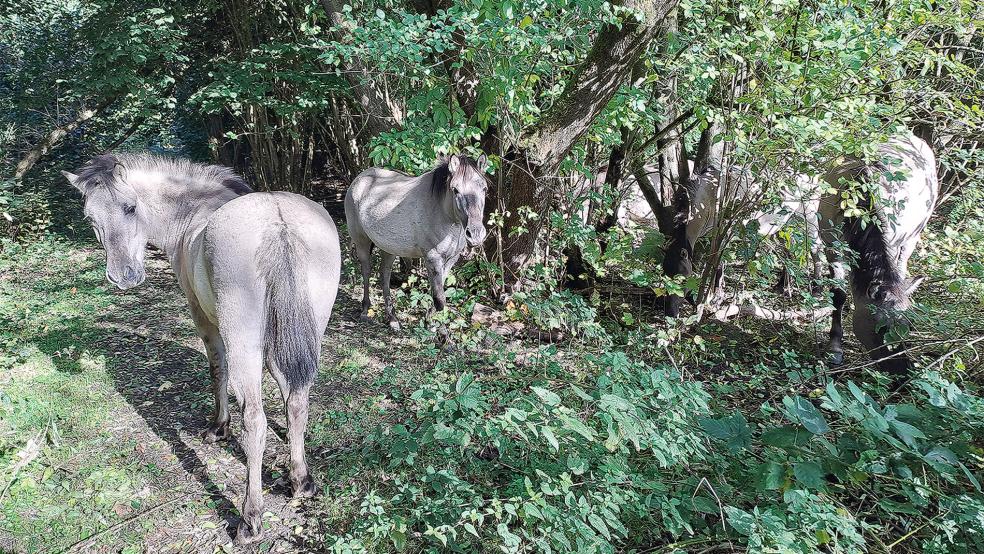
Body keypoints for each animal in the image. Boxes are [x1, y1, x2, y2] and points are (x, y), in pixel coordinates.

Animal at [62, 153, 341, 545]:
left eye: (131, 207)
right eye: (90, 217)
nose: (123, 276)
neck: (193, 214)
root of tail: (278, 222)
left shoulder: (205, 320)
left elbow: (217, 370)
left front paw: (218, 426)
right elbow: (287, 394)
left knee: (255, 420)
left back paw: (249, 517)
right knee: (299, 400)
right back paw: (300, 481)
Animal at [345, 154, 489, 330]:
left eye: (484, 188)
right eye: (455, 190)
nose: (475, 234)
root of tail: (359, 179)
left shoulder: (450, 260)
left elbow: (437, 293)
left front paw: (430, 320)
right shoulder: (433, 259)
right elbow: (440, 299)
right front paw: (440, 331)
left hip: (389, 248)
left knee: (384, 275)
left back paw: (392, 318)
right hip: (362, 241)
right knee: (366, 271)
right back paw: (365, 310)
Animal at [818, 132, 938, 375]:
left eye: (910, 326)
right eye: (881, 328)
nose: (903, 371)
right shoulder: (831, 247)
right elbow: (838, 294)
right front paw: (834, 348)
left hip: (912, 238)